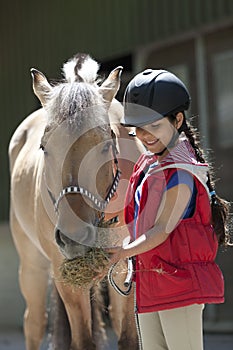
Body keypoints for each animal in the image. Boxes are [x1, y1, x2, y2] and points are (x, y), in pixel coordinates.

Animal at [8, 52, 144, 350]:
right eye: (44, 147)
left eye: (105, 144)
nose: (74, 237)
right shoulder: (65, 276)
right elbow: (82, 341)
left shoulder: (126, 267)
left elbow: (129, 337)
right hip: (32, 265)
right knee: (34, 323)